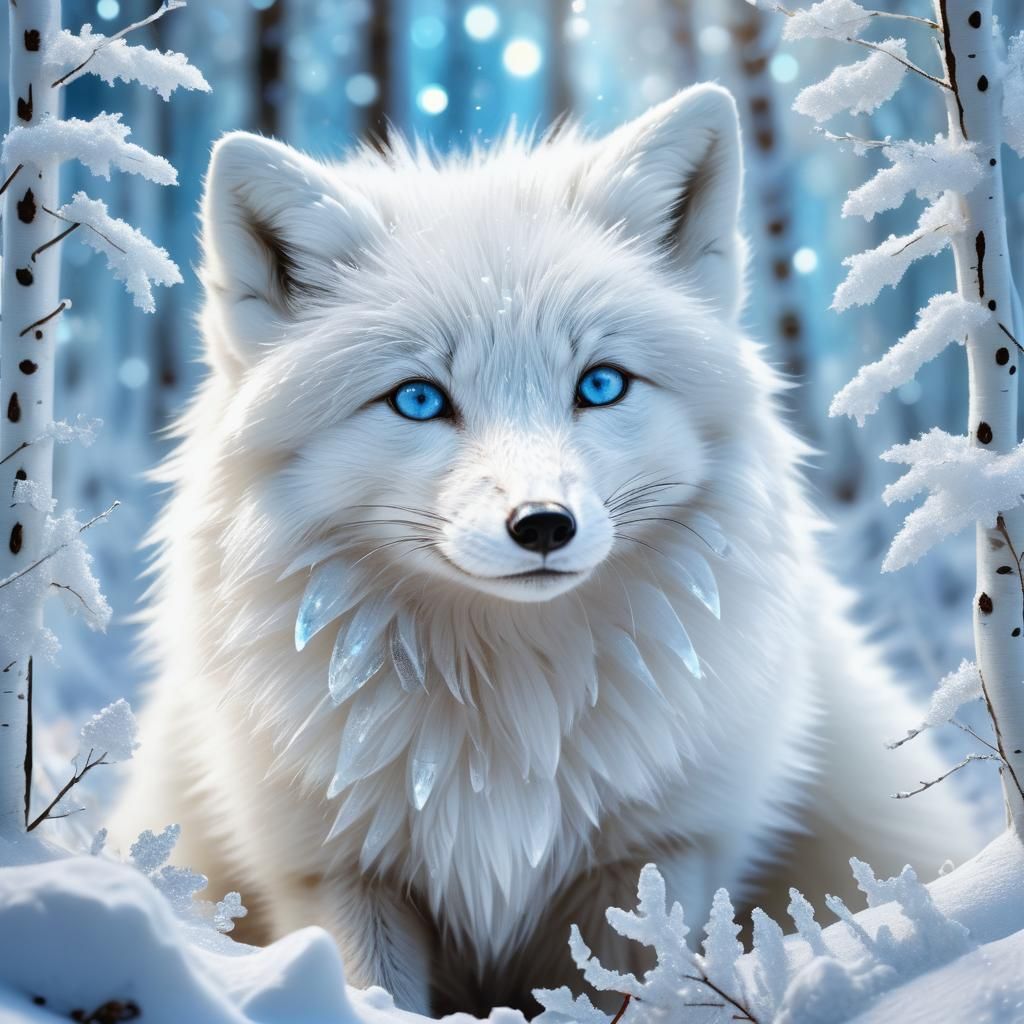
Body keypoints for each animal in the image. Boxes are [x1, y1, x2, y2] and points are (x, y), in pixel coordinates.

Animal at [112, 85, 983, 1015]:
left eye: (600, 384)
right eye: (418, 400)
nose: (542, 524)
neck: (511, 714)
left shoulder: (657, 857)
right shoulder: (334, 870)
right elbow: (372, 993)